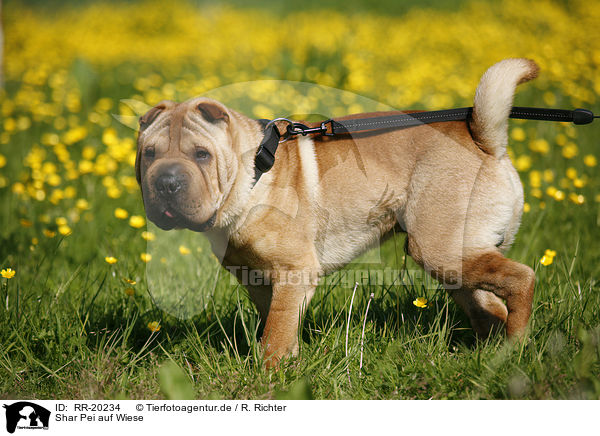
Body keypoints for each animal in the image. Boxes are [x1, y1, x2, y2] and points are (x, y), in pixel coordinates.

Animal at [137, 58, 540, 364]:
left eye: (201, 155)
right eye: (149, 154)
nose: (167, 182)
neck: (252, 176)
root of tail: (485, 140)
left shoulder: (293, 271)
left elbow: (275, 333)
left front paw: (270, 374)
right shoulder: (258, 279)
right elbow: (276, 324)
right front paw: (288, 363)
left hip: (440, 248)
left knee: (522, 279)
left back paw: (514, 349)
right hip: (458, 258)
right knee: (490, 306)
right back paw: (488, 354)